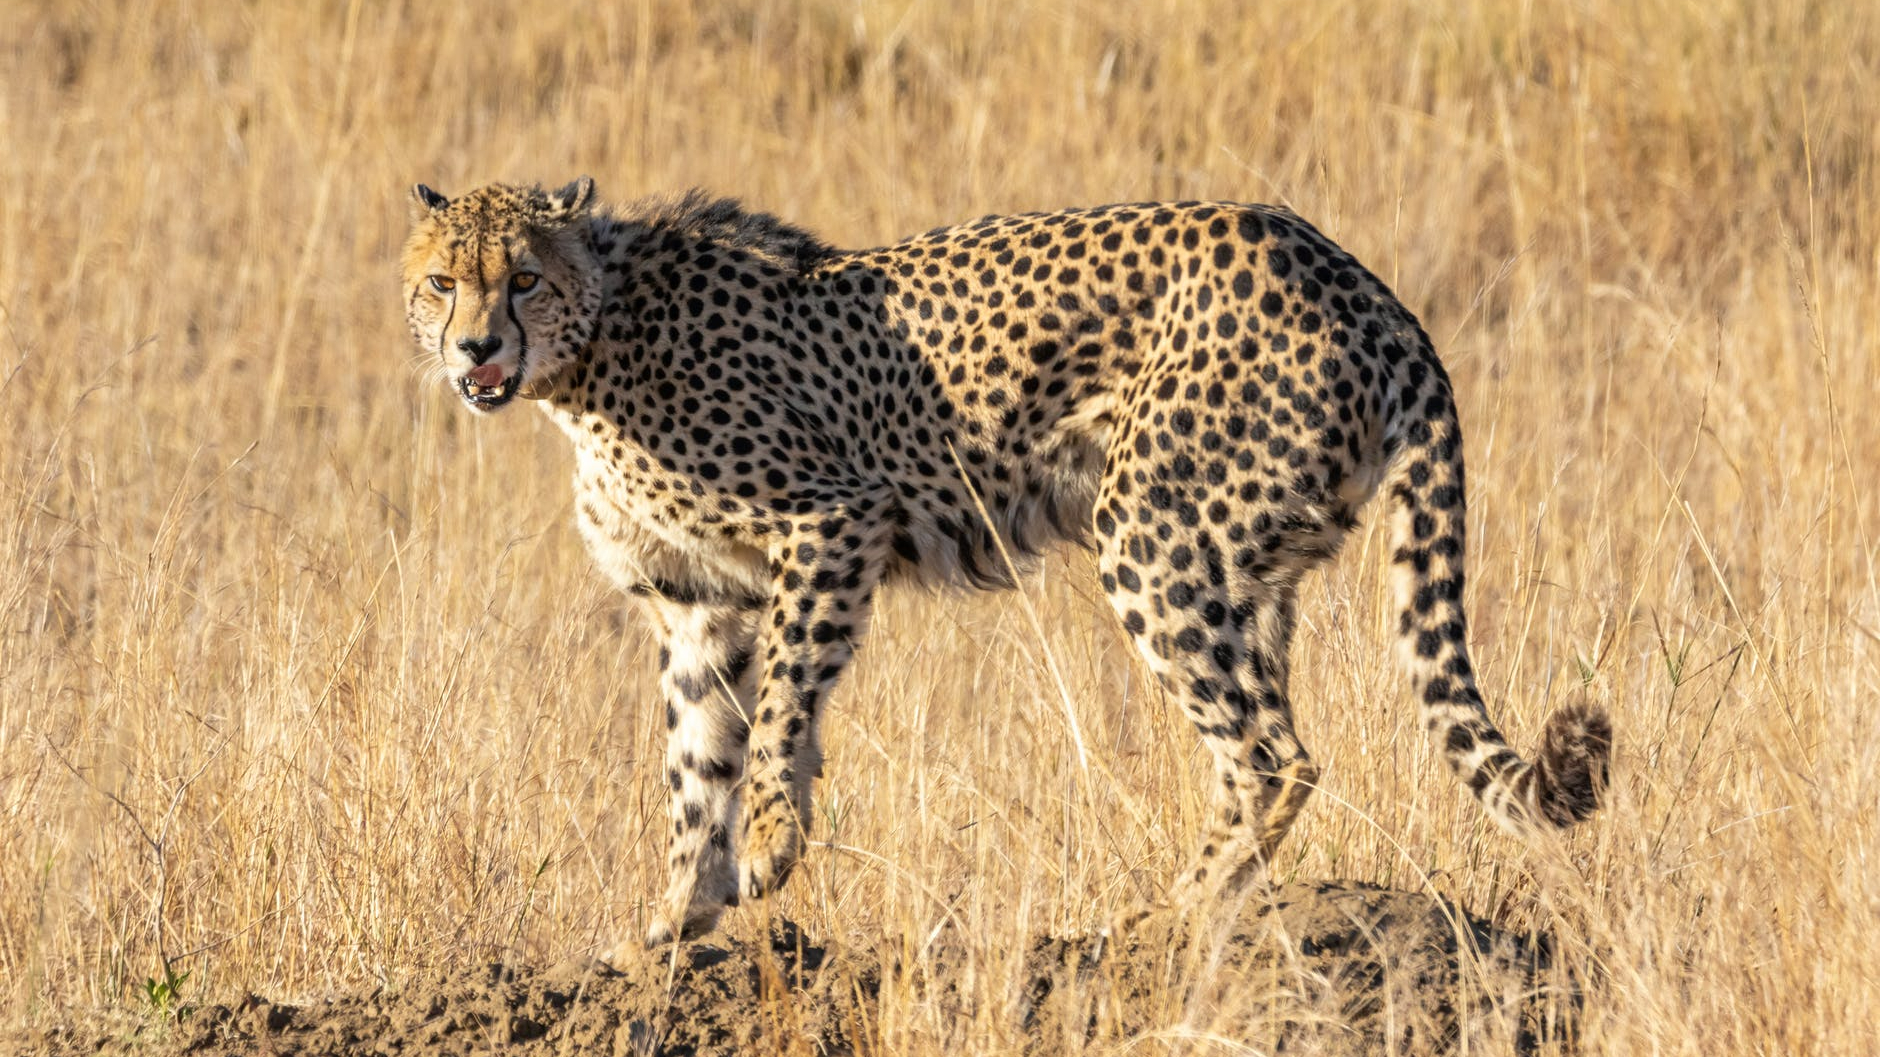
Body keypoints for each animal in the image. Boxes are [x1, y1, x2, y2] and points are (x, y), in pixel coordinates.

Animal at [400, 177, 1611, 948]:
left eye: (521, 279)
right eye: (441, 283)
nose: (476, 347)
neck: (592, 351)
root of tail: (1353, 274)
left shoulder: (831, 520)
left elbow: (782, 706)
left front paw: (772, 844)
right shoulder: (698, 602)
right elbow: (694, 762)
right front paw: (672, 922)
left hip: (1150, 531)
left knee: (1275, 753)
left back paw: (1166, 917)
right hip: (1247, 562)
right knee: (1258, 745)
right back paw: (1206, 906)